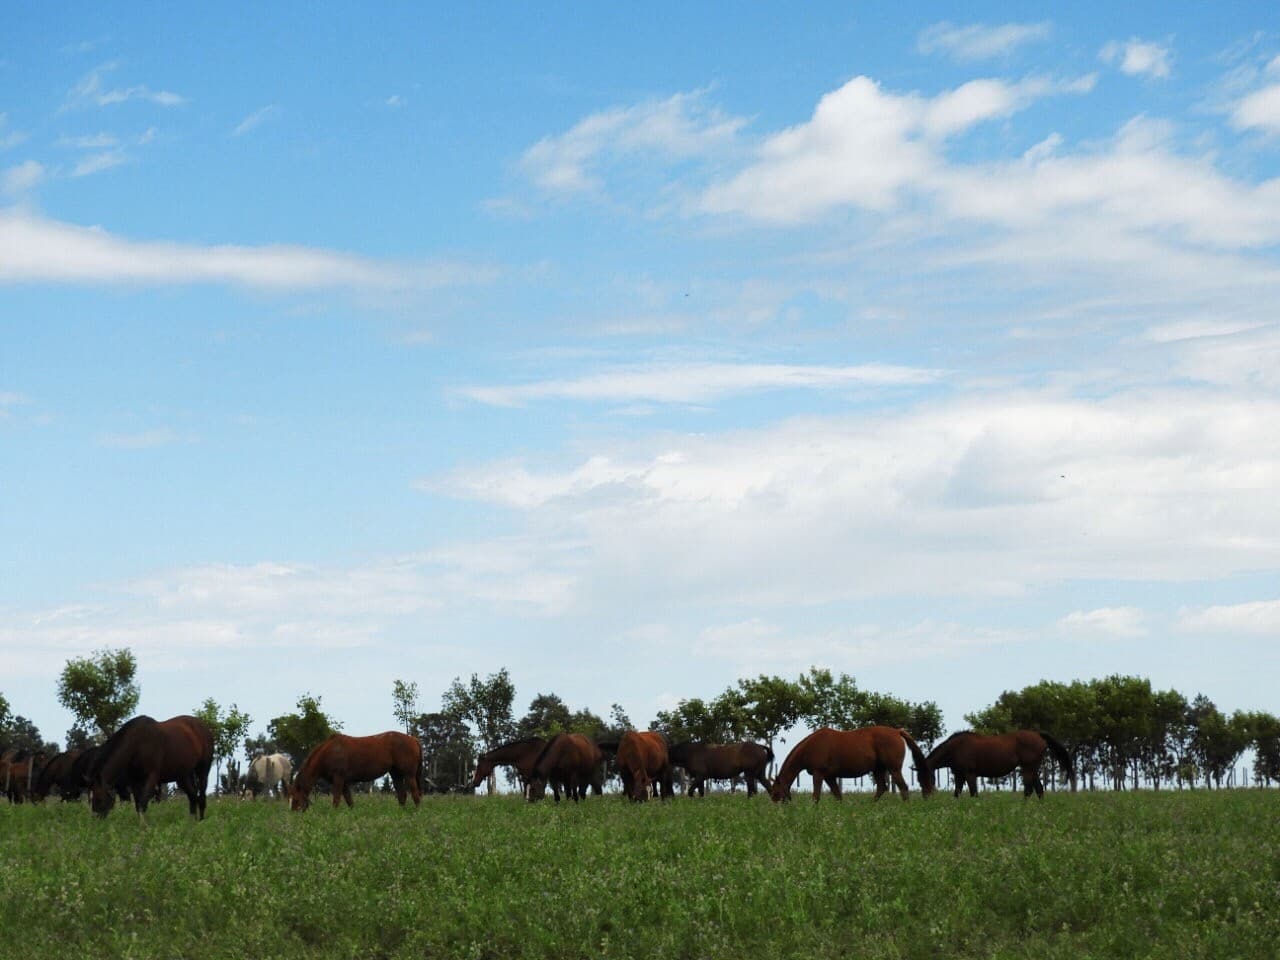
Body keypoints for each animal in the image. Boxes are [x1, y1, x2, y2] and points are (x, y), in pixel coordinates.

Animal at [290, 732, 422, 811]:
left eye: (296, 799)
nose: (294, 815)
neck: (328, 753)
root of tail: (413, 739)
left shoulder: (338, 779)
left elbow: (336, 800)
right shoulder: (343, 783)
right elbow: (349, 801)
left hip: (409, 775)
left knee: (415, 795)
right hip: (396, 774)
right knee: (402, 795)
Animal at [770, 726, 934, 802]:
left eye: (776, 792)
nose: (777, 809)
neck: (812, 746)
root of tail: (897, 731)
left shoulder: (818, 774)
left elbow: (816, 796)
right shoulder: (829, 777)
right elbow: (838, 795)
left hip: (893, 769)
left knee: (902, 787)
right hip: (878, 769)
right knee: (882, 787)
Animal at [926, 730, 1076, 798]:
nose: (926, 797)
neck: (956, 748)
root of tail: (1039, 736)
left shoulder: (970, 774)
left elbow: (974, 793)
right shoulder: (959, 775)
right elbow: (957, 793)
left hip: (1028, 768)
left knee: (1028, 790)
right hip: (1033, 770)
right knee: (1039, 790)